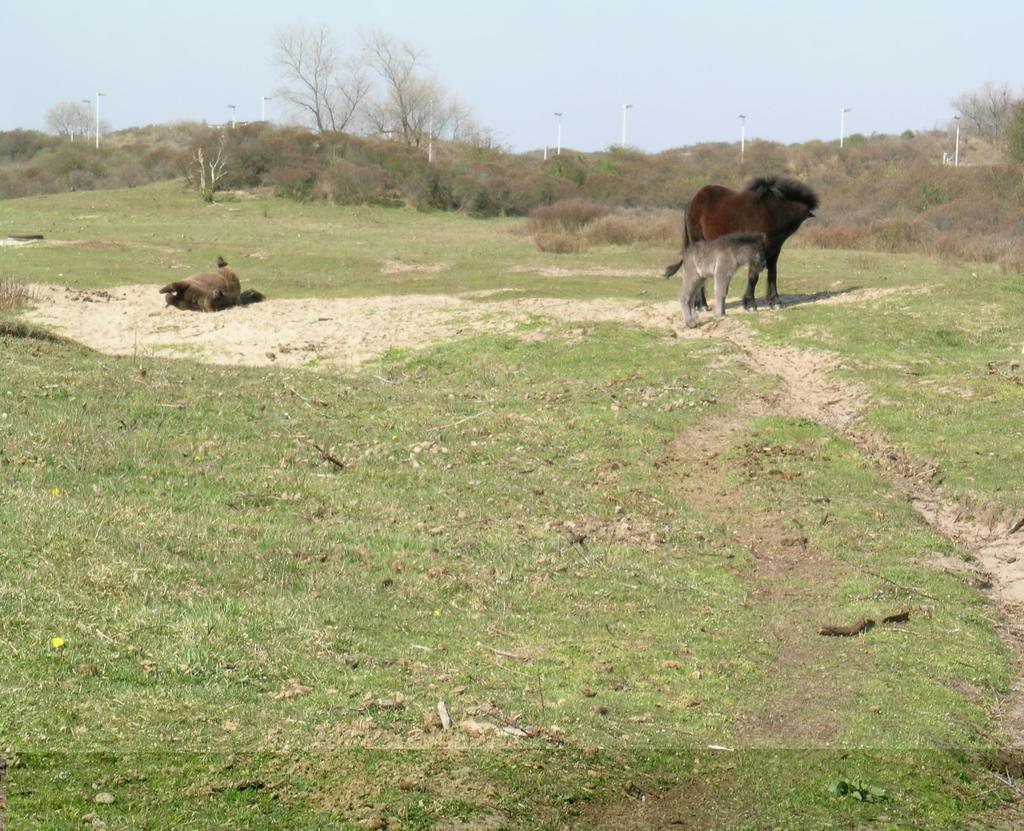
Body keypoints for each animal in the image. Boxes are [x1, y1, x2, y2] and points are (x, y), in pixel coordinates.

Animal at [663, 175, 815, 309]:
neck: (772, 211)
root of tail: (692, 201)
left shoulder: (774, 250)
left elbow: (772, 274)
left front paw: (775, 301)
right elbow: (753, 276)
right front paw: (750, 304)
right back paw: (703, 305)